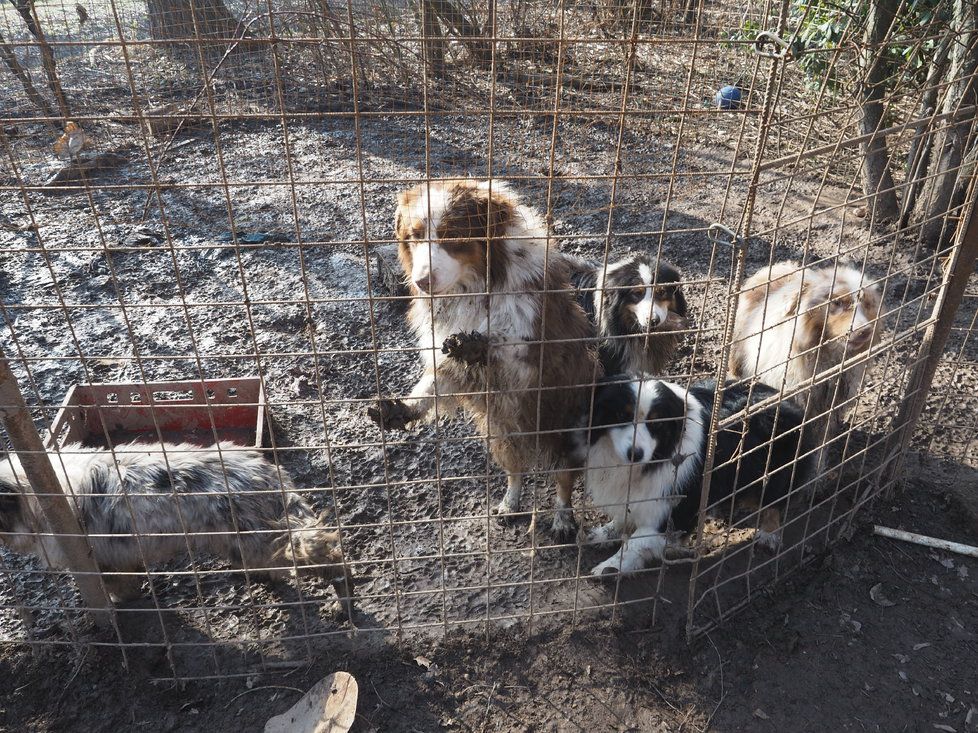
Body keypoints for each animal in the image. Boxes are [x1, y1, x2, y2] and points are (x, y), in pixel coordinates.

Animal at [0, 440, 352, 612]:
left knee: (317, 556)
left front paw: (120, 602)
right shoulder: (122, 554)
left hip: (258, 538)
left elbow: (116, 588)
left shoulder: (100, 559)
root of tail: (268, 475)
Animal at [370, 180, 600, 540]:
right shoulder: (447, 362)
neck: (473, 289)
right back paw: (510, 503)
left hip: (564, 429)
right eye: (415, 235)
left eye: (451, 236)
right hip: (500, 432)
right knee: (516, 470)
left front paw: (476, 345)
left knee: (563, 482)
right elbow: (431, 385)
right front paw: (400, 409)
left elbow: (507, 344)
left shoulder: (536, 350)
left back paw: (563, 520)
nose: (421, 282)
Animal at [576, 378, 812, 576]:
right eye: (621, 416)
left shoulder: (672, 506)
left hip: (776, 471)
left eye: (657, 424)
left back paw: (768, 535)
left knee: (774, 502)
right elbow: (624, 516)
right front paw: (604, 534)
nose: (636, 454)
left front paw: (609, 567)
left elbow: (636, 542)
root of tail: (789, 399)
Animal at [728, 260, 880, 472]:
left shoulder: (826, 408)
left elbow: (819, 443)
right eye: (837, 302)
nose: (865, 331)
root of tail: (784, 267)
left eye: (866, 304)